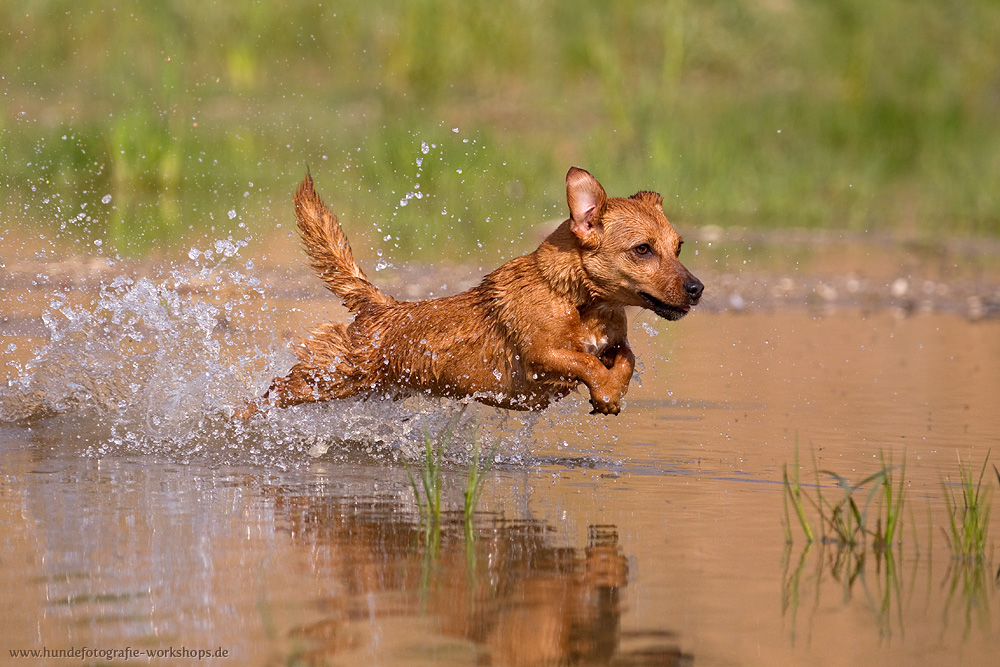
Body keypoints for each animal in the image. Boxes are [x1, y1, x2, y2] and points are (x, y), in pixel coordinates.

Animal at [244, 167, 704, 418]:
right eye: (642, 249)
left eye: (678, 247)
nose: (698, 288)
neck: (576, 301)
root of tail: (381, 308)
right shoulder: (541, 355)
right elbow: (583, 361)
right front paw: (605, 391)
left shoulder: (615, 341)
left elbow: (626, 357)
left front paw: (611, 394)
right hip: (328, 376)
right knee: (270, 392)